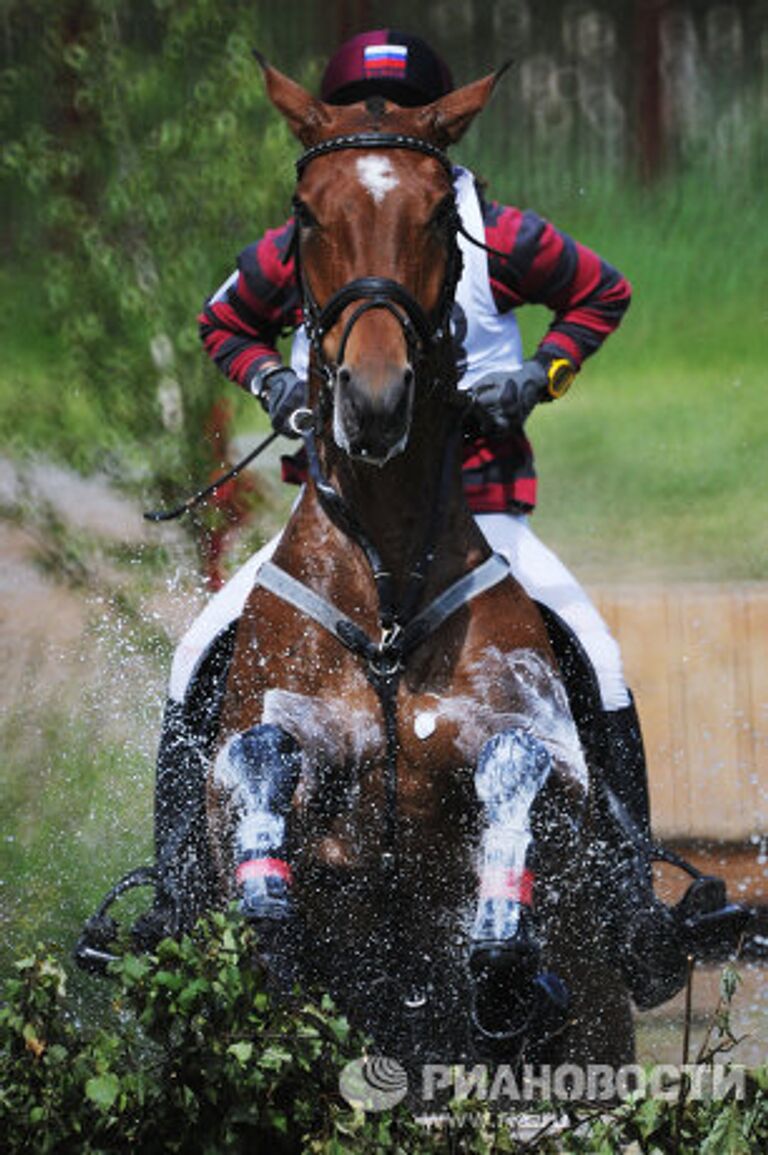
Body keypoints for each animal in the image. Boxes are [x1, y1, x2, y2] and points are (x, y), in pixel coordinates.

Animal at [198, 60, 632, 1071]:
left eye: (439, 213)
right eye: (305, 213)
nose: (374, 399)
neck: (389, 588)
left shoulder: (547, 758)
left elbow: (520, 766)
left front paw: (504, 955)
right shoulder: (250, 759)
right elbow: (259, 761)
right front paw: (270, 915)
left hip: (606, 1027)